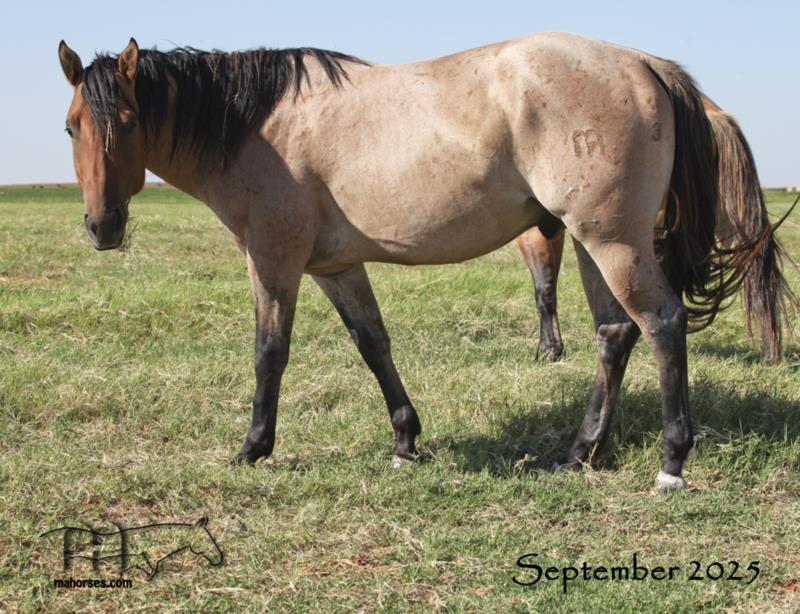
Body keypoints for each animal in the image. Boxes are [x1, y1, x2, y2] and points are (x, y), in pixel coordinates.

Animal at [516, 96, 793, 363]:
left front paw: (548, 349)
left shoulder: (535, 234)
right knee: (753, 272)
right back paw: (771, 353)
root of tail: (712, 113)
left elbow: (544, 288)